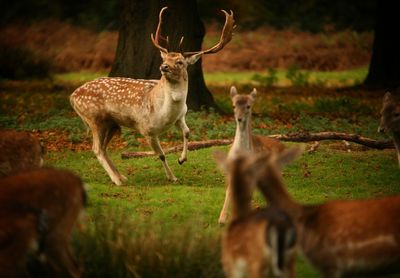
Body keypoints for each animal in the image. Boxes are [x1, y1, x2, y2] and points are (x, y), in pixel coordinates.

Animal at [70, 6, 236, 185]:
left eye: (180, 62)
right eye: (166, 58)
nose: (163, 67)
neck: (166, 113)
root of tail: (72, 97)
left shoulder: (181, 115)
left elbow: (187, 132)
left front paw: (182, 159)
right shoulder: (147, 129)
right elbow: (161, 154)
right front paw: (172, 177)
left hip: (112, 124)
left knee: (103, 147)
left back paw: (121, 176)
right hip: (94, 118)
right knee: (96, 148)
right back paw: (117, 180)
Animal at [217, 87, 286, 224]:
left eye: (248, 106)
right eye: (233, 105)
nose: (239, 118)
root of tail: (282, 146)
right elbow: (229, 191)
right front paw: (222, 219)